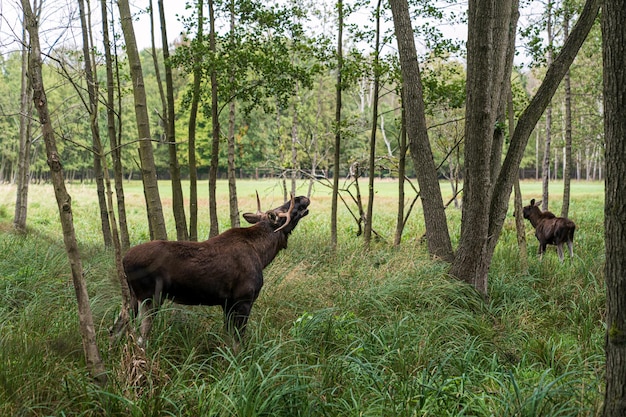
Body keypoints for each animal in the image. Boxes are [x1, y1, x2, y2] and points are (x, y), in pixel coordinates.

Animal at [120, 193, 310, 346]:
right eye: (283, 211)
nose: (302, 198)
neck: (262, 254)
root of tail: (123, 260)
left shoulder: (227, 303)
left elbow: (228, 339)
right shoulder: (244, 299)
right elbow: (238, 342)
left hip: (133, 298)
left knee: (118, 327)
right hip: (150, 297)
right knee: (140, 338)